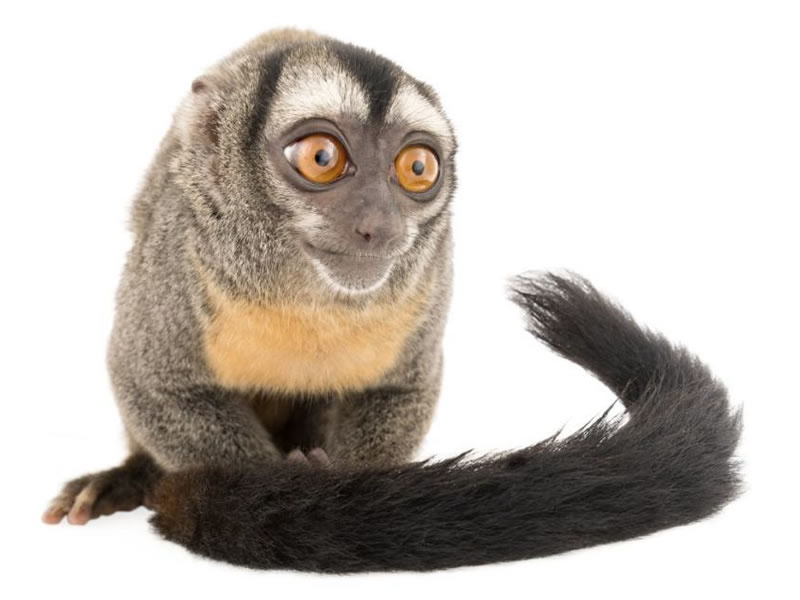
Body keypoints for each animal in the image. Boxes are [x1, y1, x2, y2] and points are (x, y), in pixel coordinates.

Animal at [42, 29, 742, 573]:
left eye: (417, 169)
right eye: (322, 157)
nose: (379, 224)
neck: (302, 288)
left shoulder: (430, 275)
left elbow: (403, 387)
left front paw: (326, 488)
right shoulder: (181, 255)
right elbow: (152, 381)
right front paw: (278, 492)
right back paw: (126, 479)